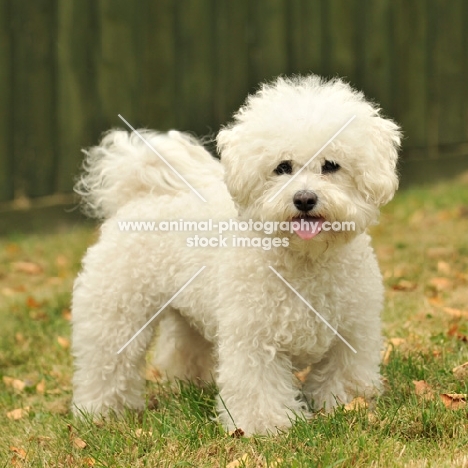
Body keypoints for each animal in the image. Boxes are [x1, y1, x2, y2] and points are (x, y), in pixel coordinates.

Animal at [71, 74, 400, 436]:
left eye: (331, 166)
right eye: (282, 167)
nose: (304, 199)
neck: (303, 259)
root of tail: (142, 193)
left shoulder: (352, 332)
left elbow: (341, 374)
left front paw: (344, 406)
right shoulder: (253, 338)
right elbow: (258, 386)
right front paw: (267, 426)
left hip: (188, 311)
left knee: (183, 346)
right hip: (116, 312)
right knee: (106, 363)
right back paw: (102, 412)